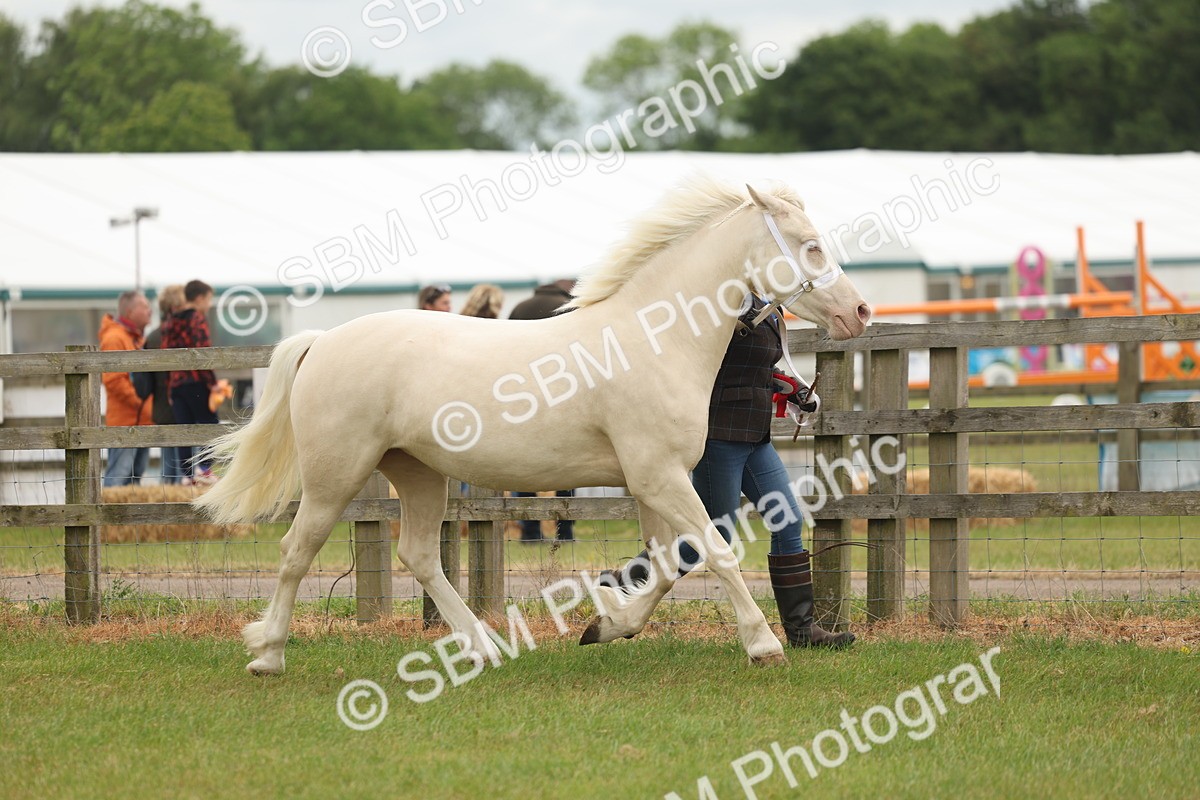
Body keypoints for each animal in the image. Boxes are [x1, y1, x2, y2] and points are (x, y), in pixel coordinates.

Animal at [195, 177, 871, 674]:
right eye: (810, 244)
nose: (860, 311)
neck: (653, 340)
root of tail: (323, 341)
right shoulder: (659, 478)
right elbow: (717, 553)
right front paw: (763, 645)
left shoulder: (654, 482)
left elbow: (668, 564)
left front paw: (607, 624)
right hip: (336, 474)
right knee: (296, 550)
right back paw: (267, 655)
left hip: (417, 473)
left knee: (418, 554)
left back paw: (482, 648)